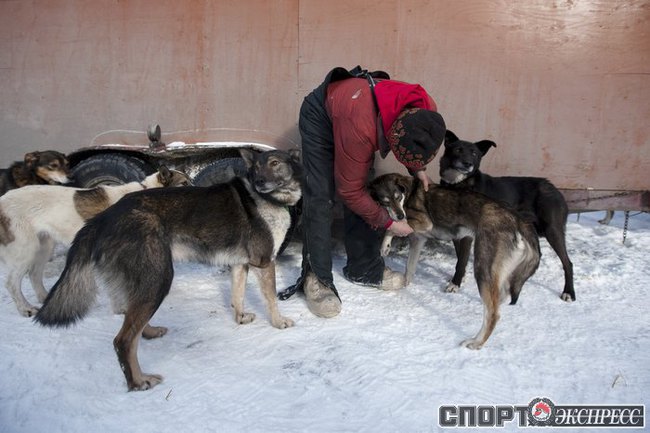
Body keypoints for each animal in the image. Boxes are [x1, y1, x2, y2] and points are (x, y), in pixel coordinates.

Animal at [0, 166, 191, 317]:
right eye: (184, 184)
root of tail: (2, 200)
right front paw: (120, 310)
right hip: (26, 249)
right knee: (11, 283)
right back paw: (25, 308)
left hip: (44, 246)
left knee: (34, 274)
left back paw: (44, 297)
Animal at [35, 149, 302, 391]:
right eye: (256, 168)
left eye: (275, 163)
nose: (260, 182)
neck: (269, 199)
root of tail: (105, 216)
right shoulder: (264, 262)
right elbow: (270, 298)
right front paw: (278, 322)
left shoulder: (240, 264)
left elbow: (238, 297)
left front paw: (240, 318)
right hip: (159, 278)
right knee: (123, 340)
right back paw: (138, 381)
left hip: (146, 282)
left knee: (134, 325)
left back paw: (150, 333)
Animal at [369, 173, 540, 349]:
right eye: (385, 201)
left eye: (398, 197)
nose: (400, 215)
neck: (409, 193)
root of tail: (518, 220)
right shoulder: (418, 239)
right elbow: (409, 270)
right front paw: (403, 284)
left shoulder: (423, 222)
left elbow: (391, 228)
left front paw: (385, 245)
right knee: (498, 299)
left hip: (482, 266)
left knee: (493, 314)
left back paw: (476, 342)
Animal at [439, 130, 575, 302]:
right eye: (458, 149)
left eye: (474, 153)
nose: (467, 164)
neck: (458, 185)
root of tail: (555, 189)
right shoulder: (457, 232)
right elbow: (459, 258)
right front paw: (460, 278)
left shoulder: (467, 234)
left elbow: (462, 260)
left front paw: (455, 283)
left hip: (552, 231)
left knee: (567, 263)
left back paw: (569, 292)